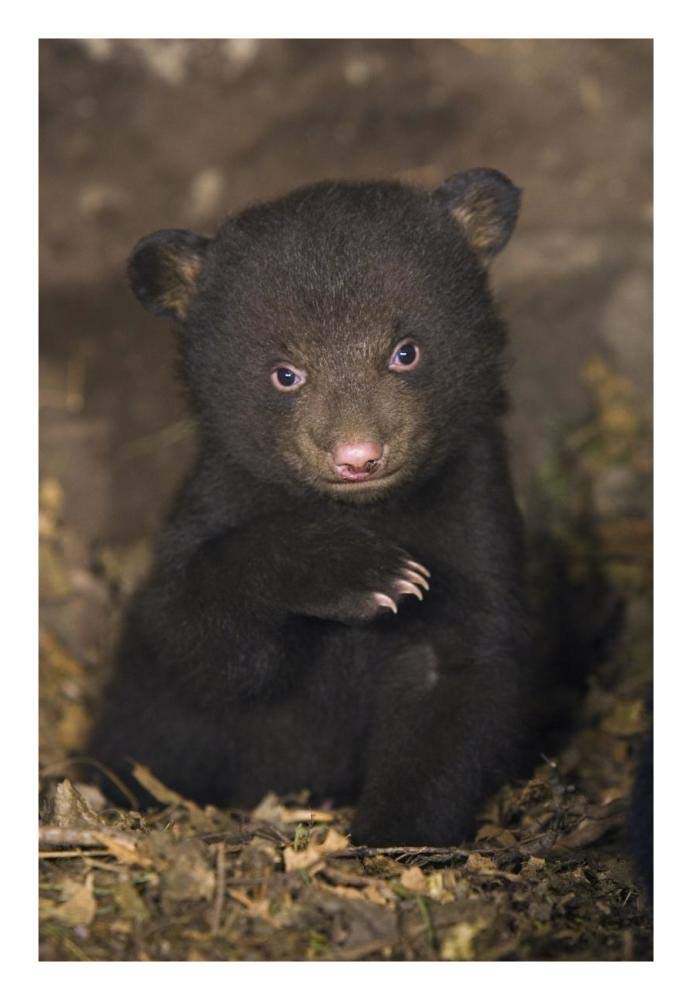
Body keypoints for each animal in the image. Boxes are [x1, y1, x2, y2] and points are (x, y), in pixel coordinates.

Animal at [88, 167, 532, 846]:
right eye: (285, 373)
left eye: (406, 351)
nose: (358, 456)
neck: (366, 508)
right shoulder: (218, 500)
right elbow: (199, 643)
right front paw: (363, 573)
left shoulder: (473, 514)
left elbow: (457, 679)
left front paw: (394, 834)